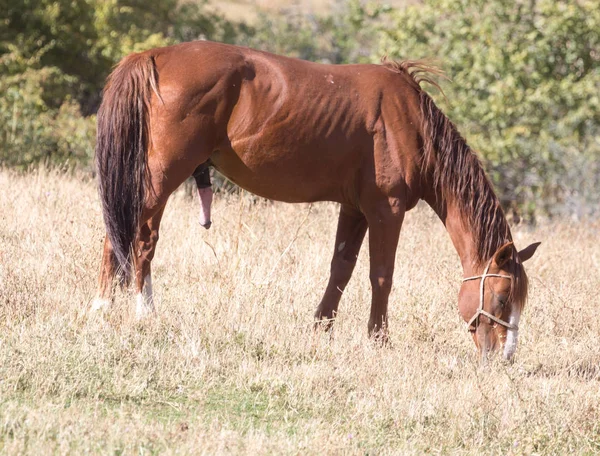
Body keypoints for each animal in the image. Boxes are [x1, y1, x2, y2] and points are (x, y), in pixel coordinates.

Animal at [92, 41, 540, 362]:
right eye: (502, 298)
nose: (504, 358)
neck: (410, 123)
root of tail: (154, 55)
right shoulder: (386, 210)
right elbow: (381, 275)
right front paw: (379, 340)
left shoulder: (354, 209)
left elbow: (341, 268)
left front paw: (320, 328)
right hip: (160, 178)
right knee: (134, 239)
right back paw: (131, 311)